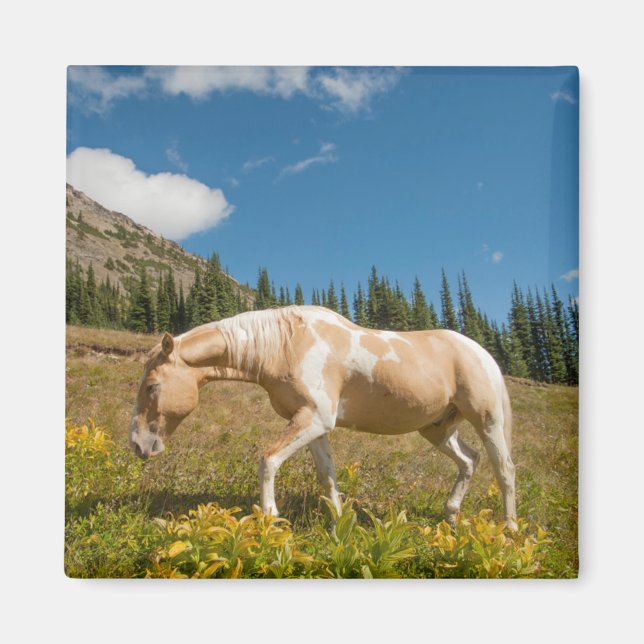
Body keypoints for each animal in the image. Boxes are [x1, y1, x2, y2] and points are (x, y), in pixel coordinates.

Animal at [129, 305, 517, 529]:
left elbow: (268, 460)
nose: (137, 444)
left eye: (151, 386)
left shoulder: (314, 419)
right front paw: (339, 527)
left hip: (488, 420)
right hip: (436, 429)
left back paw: (510, 529)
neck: (287, 343)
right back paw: (450, 516)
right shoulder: (313, 425)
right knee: (469, 460)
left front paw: (269, 517)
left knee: (504, 470)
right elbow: (327, 477)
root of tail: (482, 353)